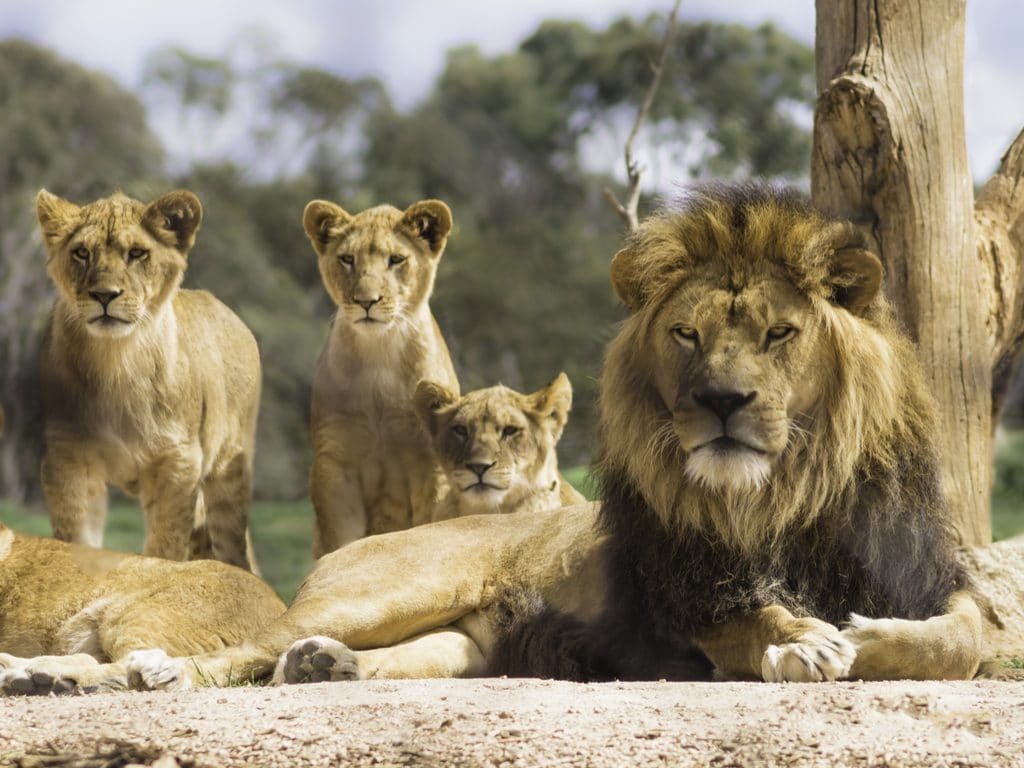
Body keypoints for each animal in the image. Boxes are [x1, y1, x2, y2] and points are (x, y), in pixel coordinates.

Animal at [38, 188, 264, 569]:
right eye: (82, 253)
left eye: (136, 253)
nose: (104, 295)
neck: (115, 362)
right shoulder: (68, 456)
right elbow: (77, 538)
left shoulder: (177, 460)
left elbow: (166, 545)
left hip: (228, 472)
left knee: (233, 549)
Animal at [303, 198, 460, 561]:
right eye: (347, 259)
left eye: (396, 259)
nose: (366, 301)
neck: (380, 354)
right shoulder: (335, 461)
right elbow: (339, 541)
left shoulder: (432, 466)